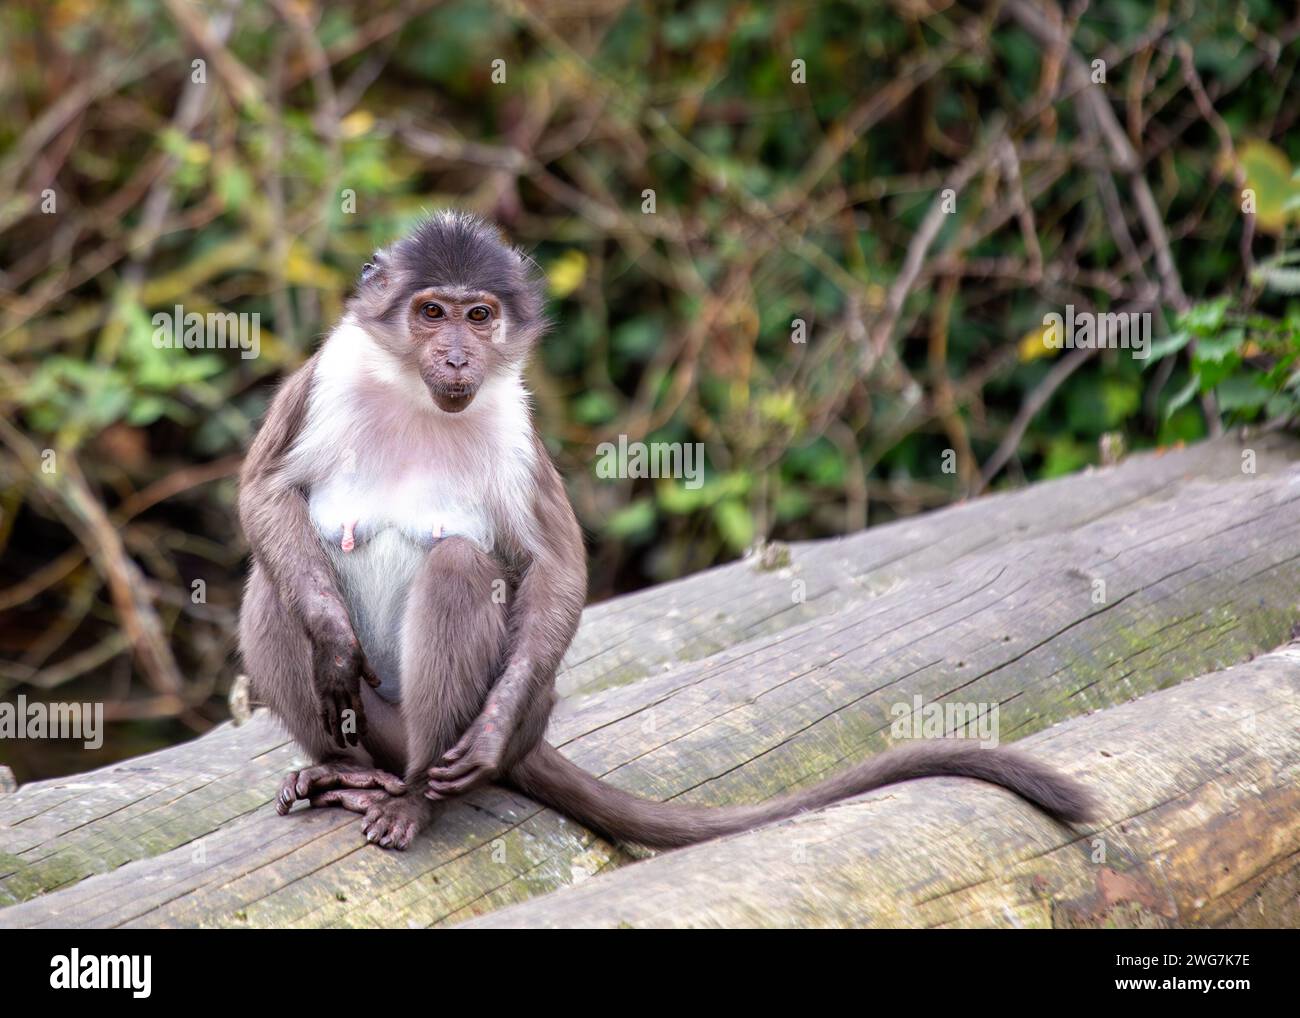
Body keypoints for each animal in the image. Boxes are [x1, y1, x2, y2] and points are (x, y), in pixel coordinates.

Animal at [236, 213, 1097, 852]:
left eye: (479, 316)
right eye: (430, 312)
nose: (454, 356)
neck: (418, 397)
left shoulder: (513, 417)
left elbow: (555, 565)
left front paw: (479, 741)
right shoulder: (330, 370)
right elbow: (265, 493)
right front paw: (332, 642)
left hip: (498, 716)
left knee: (454, 567)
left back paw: (416, 795)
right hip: (373, 719)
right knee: (277, 585)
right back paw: (339, 767)